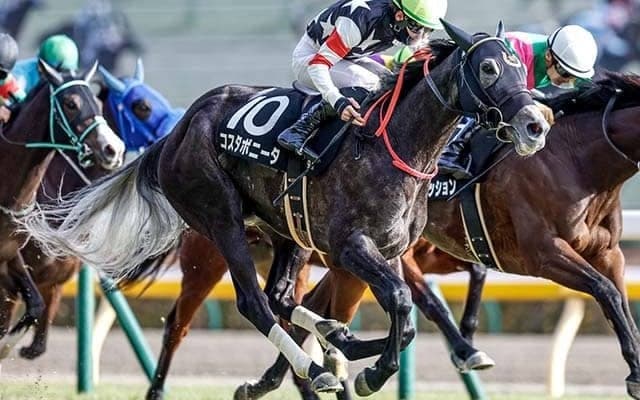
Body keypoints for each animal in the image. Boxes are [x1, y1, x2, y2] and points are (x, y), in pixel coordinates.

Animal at [21, 21, 549, 396]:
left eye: (519, 68)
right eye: (488, 69)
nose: (534, 124)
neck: (394, 146)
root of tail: (179, 128)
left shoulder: (389, 251)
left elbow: (408, 316)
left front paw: (366, 354)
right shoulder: (350, 247)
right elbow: (401, 301)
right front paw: (373, 373)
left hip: (285, 233)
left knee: (281, 298)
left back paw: (338, 341)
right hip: (219, 221)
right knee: (253, 303)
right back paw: (318, 367)